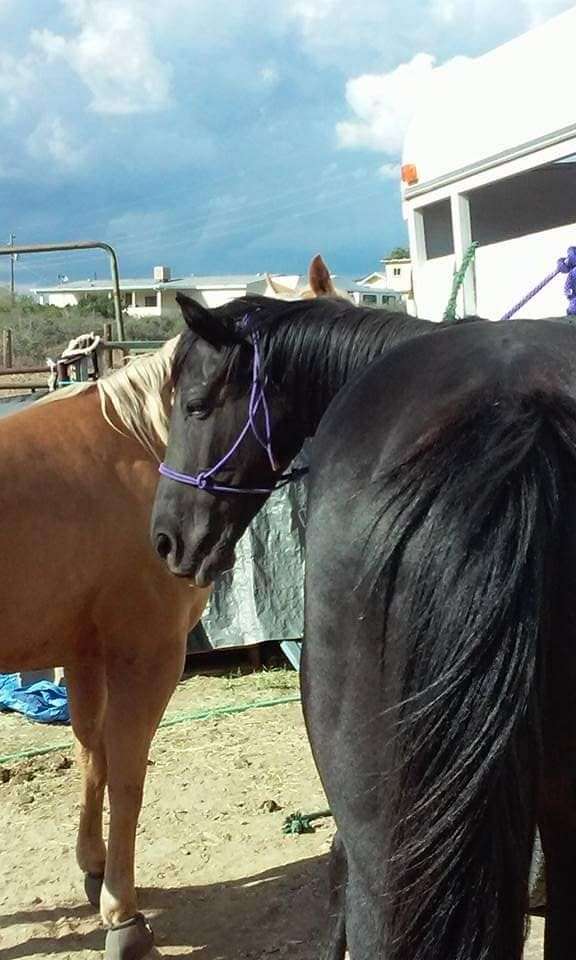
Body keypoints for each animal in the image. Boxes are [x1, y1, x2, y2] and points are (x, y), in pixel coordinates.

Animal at [0, 342, 209, 960]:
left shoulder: (86, 652)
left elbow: (93, 755)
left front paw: (94, 870)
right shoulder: (150, 655)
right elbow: (128, 776)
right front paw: (125, 918)